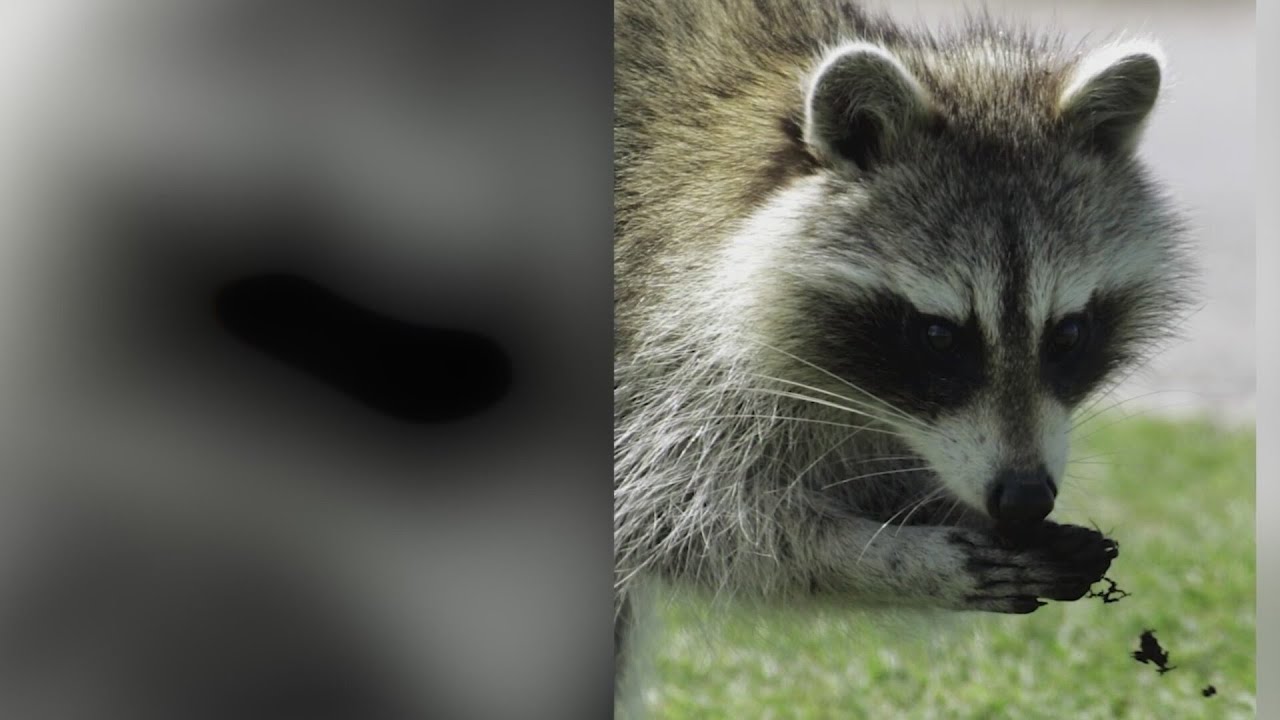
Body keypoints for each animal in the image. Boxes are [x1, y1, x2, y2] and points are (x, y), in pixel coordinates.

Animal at [614, 0, 1193, 670]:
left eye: (1069, 333)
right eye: (940, 336)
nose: (1024, 499)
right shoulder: (648, 339)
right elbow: (675, 518)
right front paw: (891, 558)